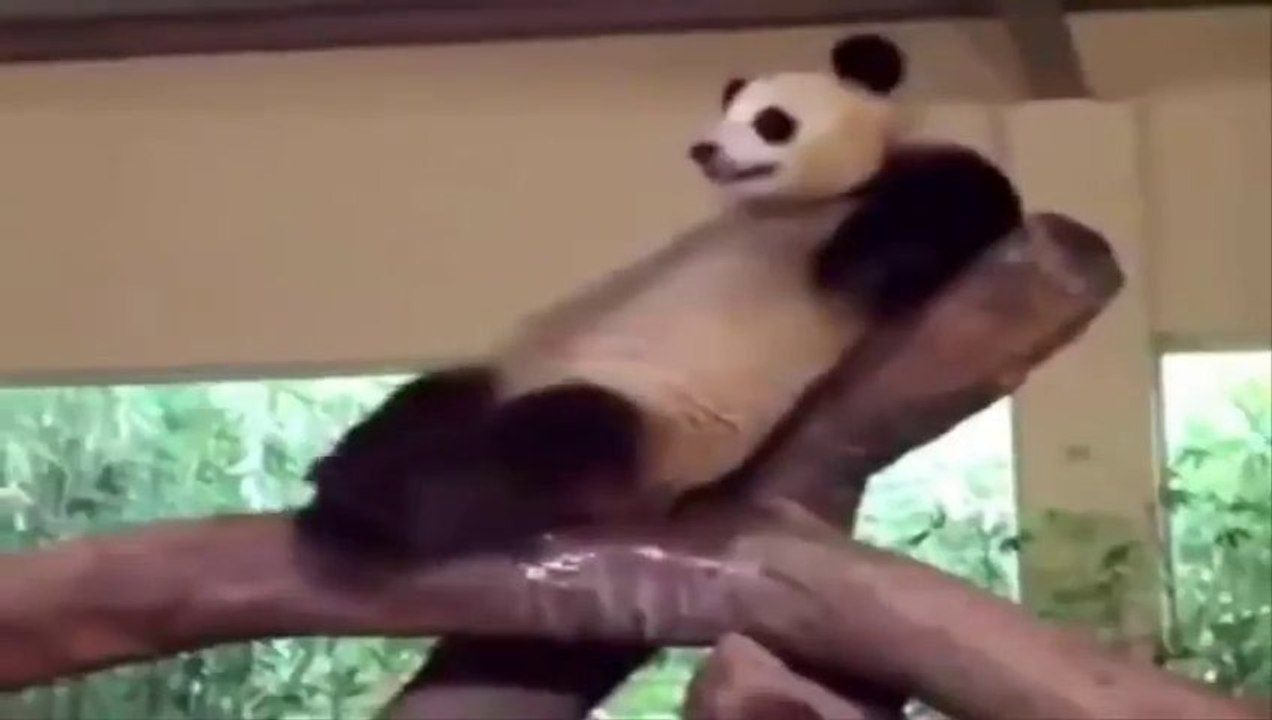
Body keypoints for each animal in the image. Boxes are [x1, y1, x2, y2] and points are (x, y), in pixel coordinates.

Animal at [295, 33, 1023, 561]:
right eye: (724, 111)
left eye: (772, 121)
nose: (704, 149)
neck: (791, 205)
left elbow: (949, 210)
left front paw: (862, 261)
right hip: (515, 372)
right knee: (435, 399)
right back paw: (344, 475)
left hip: (655, 428)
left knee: (558, 438)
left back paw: (383, 506)